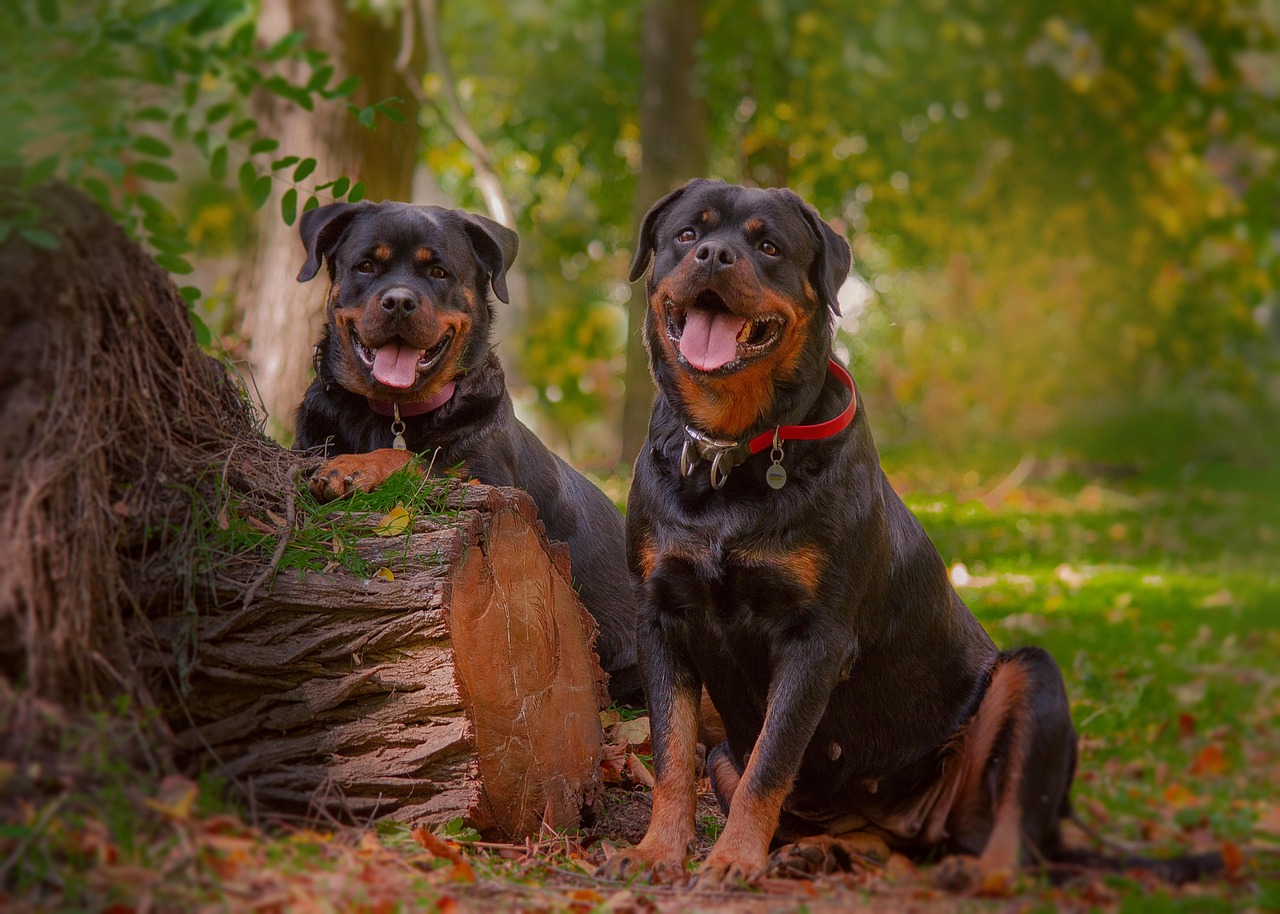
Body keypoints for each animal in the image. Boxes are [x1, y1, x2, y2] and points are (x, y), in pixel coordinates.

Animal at [294, 199, 640, 696]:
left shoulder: (488, 483)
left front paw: (351, 468)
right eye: (366, 266)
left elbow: (408, 456)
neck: (393, 411)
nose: (399, 301)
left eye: (438, 272)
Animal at [601, 177, 1218, 880]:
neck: (732, 456)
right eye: (687, 234)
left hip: (1028, 680)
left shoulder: (816, 636)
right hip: (730, 752)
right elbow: (674, 753)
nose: (713, 255)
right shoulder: (661, 615)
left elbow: (772, 760)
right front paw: (657, 850)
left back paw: (977, 874)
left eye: (767, 246)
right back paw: (820, 851)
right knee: (874, 839)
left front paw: (732, 860)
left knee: (1012, 823)